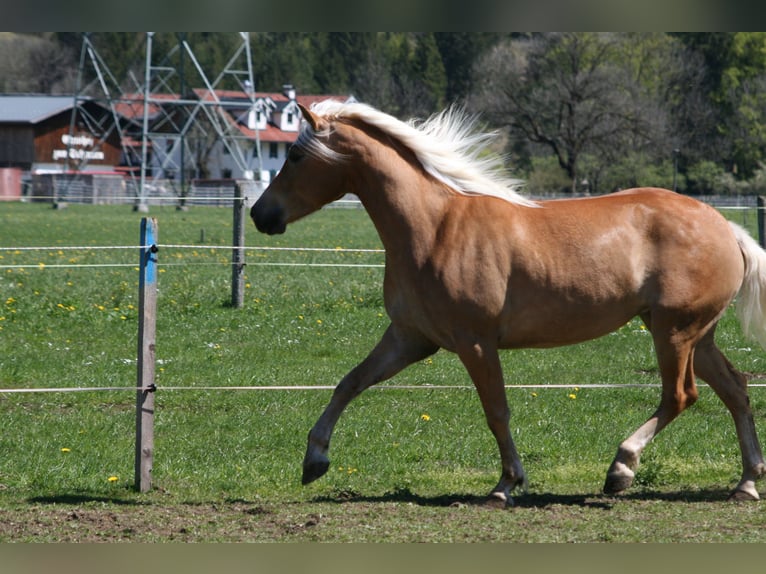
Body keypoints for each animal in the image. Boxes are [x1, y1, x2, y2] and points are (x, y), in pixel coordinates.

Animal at [251, 99, 766, 505]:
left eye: (295, 154)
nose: (260, 214)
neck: (433, 228)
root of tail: (727, 228)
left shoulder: (475, 341)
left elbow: (496, 410)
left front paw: (506, 485)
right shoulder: (409, 338)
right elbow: (349, 383)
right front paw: (314, 459)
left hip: (674, 332)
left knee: (681, 395)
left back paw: (621, 469)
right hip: (694, 334)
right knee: (735, 389)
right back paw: (746, 483)